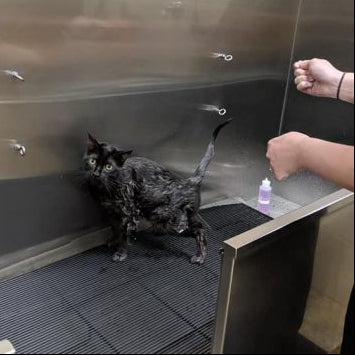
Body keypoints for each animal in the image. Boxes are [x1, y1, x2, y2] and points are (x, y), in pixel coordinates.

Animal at [84, 119, 232, 264]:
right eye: (92, 161)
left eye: (108, 166)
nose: (96, 173)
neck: (106, 189)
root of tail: (191, 181)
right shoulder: (111, 212)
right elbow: (115, 229)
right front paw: (114, 240)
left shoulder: (129, 215)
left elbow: (124, 235)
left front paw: (121, 253)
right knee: (199, 227)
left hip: (163, 218)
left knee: (199, 229)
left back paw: (200, 256)